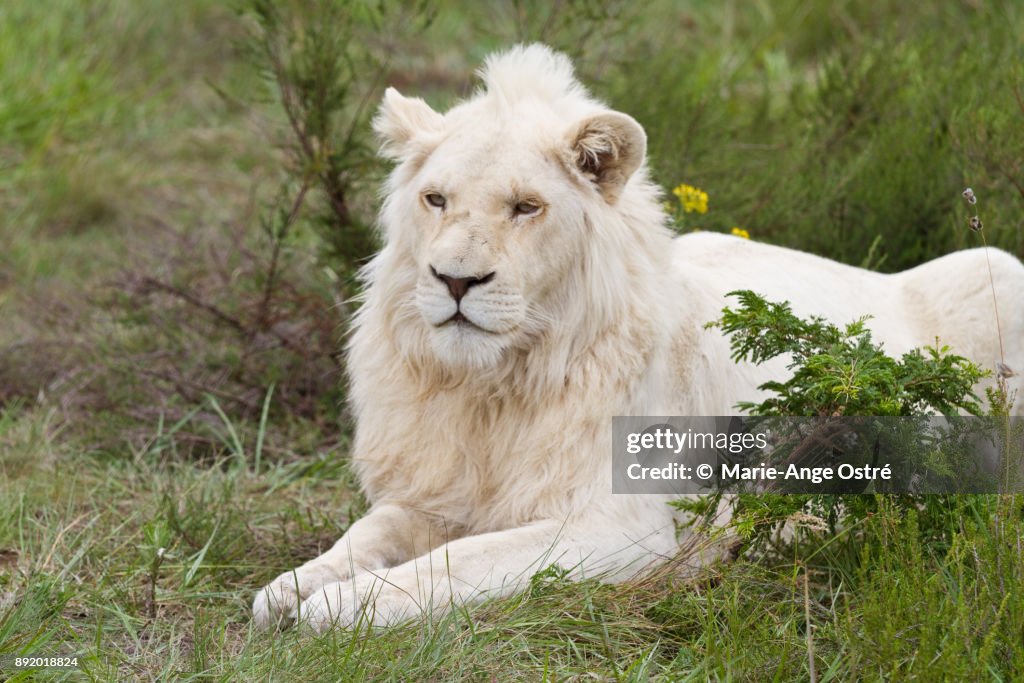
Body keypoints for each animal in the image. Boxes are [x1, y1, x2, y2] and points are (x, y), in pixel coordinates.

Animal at [251, 44, 1019, 630]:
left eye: (525, 207)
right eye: (436, 199)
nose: (454, 280)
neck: (492, 389)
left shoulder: (624, 526)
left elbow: (457, 561)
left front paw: (339, 606)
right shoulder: (432, 493)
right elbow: (368, 532)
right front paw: (289, 588)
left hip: (994, 277)